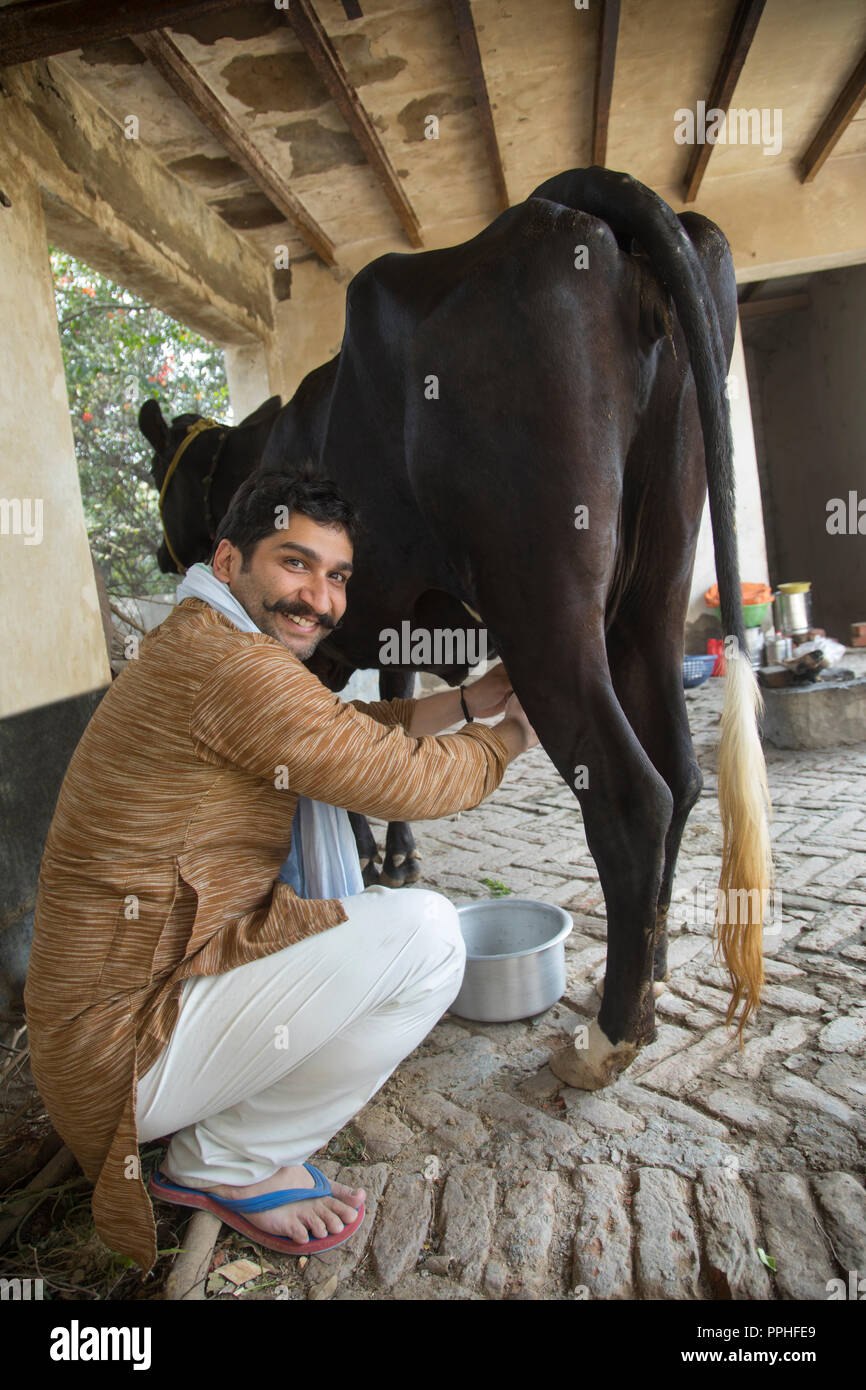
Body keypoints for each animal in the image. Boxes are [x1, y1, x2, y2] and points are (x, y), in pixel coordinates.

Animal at [142, 168, 772, 1089]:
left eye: (159, 471)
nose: (160, 552)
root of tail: (563, 204)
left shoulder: (317, 649)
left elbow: (331, 761)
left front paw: (360, 857)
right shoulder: (388, 633)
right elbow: (391, 725)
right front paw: (397, 855)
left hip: (540, 589)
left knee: (633, 793)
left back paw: (610, 1037)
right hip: (654, 585)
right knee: (682, 770)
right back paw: (649, 973)